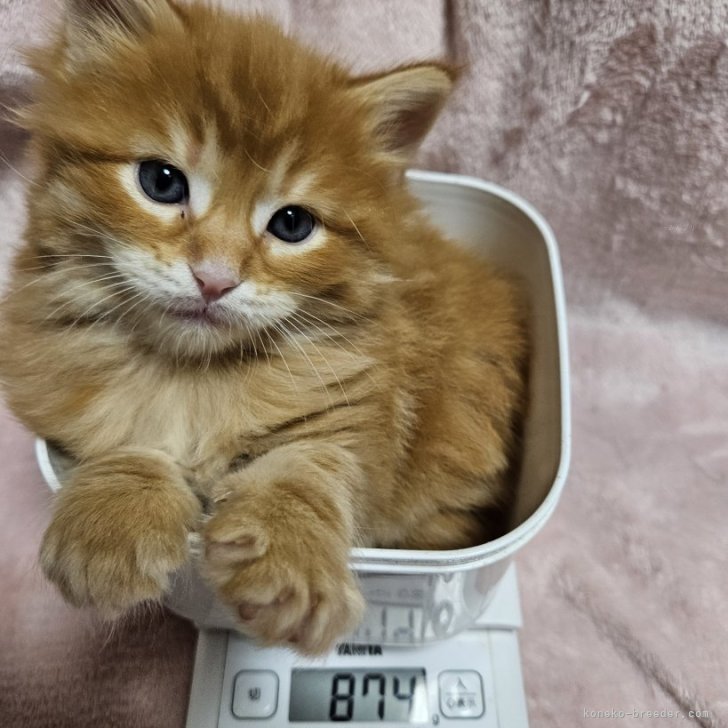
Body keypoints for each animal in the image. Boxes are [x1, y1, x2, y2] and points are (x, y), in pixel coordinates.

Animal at [0, 0, 528, 655]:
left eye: (293, 223)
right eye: (161, 182)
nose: (214, 279)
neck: (194, 378)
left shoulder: (344, 410)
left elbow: (299, 474)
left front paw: (290, 563)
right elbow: (127, 434)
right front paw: (110, 526)